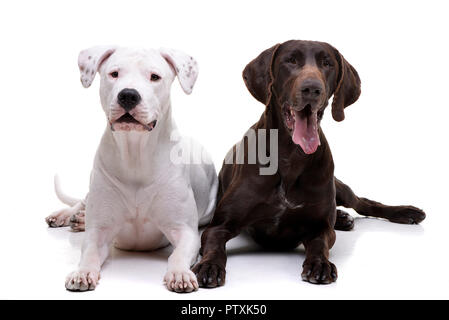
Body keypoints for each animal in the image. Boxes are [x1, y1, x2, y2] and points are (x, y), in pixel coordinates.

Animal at [46, 45, 218, 292]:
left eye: (154, 77)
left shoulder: (185, 231)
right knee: (82, 201)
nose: (128, 95)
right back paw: (68, 216)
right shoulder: (98, 232)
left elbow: (177, 255)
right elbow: (89, 253)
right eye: (114, 74)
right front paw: (83, 272)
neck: (135, 152)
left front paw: (180, 274)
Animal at [192, 40, 424, 288]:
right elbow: (215, 245)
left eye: (327, 63)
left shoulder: (320, 227)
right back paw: (344, 218)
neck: (290, 156)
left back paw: (404, 212)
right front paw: (209, 266)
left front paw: (320, 264)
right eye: (291, 60)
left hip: (339, 187)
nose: (312, 88)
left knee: (363, 202)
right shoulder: (220, 225)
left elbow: (320, 243)